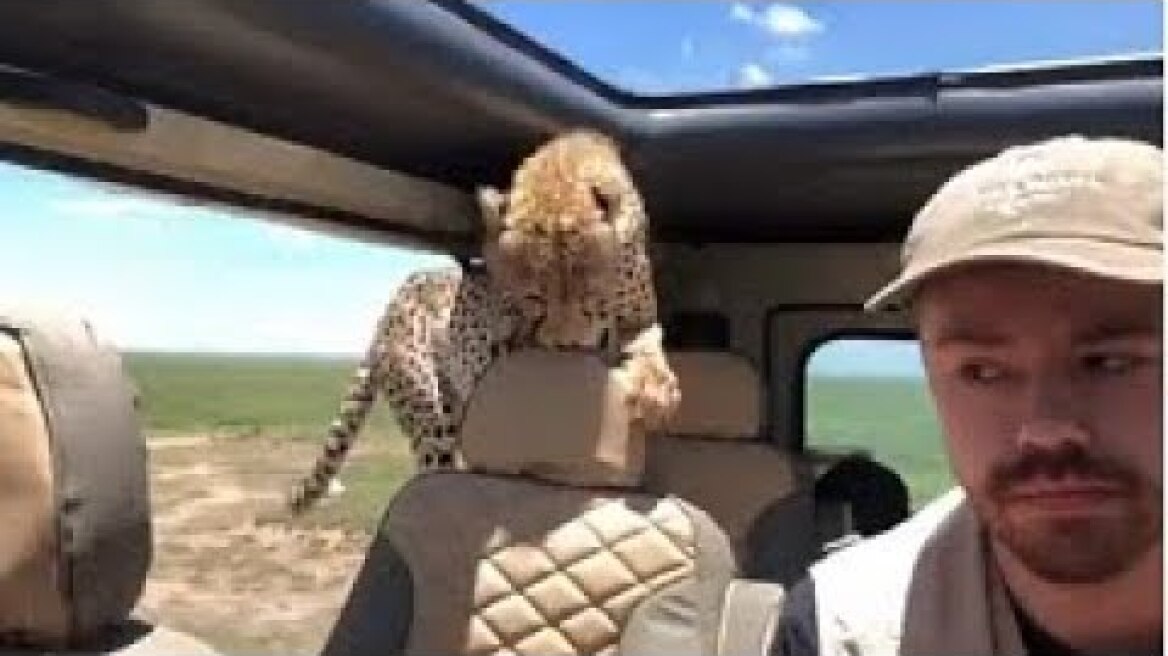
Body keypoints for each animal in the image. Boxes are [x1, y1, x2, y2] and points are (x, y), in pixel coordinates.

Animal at [286, 129, 679, 513]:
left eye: (588, 296)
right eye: (534, 298)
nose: (565, 345)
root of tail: (396, 298)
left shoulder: (638, 315)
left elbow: (647, 342)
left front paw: (657, 391)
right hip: (430, 416)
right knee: (433, 468)